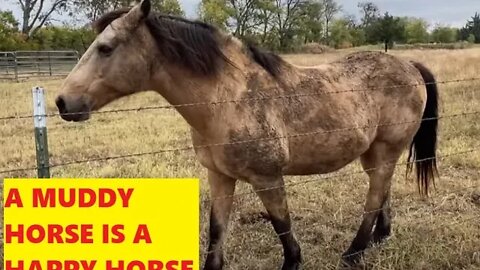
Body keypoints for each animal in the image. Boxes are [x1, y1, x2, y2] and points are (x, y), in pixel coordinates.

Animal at [53, 1, 438, 268]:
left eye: (106, 48)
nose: (62, 102)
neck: (228, 99)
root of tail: (409, 65)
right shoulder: (220, 176)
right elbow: (217, 230)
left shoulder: (267, 178)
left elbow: (283, 228)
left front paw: (294, 261)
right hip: (373, 153)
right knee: (382, 190)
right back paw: (378, 238)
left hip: (386, 149)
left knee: (373, 197)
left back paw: (354, 253)